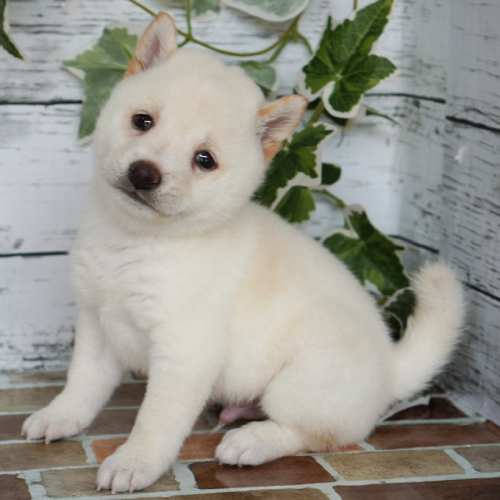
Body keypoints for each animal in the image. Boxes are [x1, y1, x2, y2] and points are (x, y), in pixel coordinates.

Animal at [20, 12, 464, 496]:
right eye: (142, 121)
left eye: (204, 159)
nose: (144, 173)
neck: (136, 241)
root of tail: (390, 367)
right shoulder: (97, 327)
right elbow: (81, 386)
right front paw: (59, 417)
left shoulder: (184, 351)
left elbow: (155, 420)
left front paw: (134, 463)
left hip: (300, 382)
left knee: (316, 432)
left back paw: (251, 442)